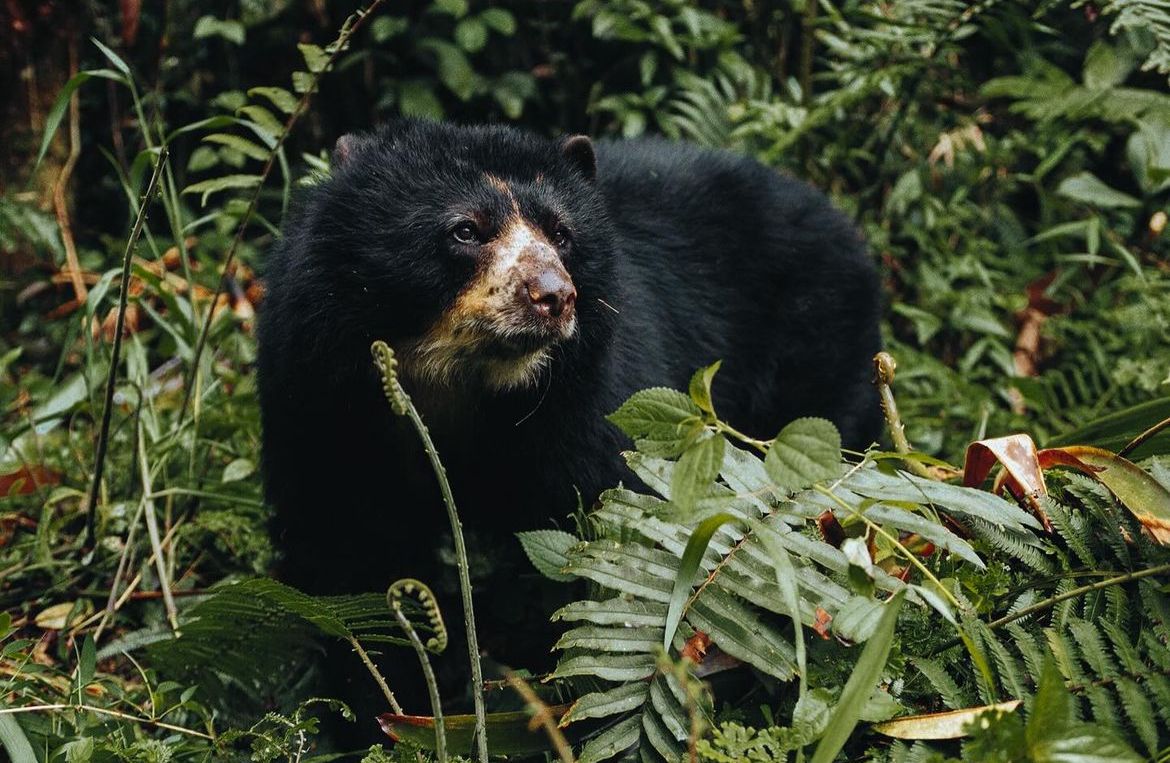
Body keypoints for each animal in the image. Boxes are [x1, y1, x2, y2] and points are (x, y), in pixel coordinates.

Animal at [253, 120, 879, 720]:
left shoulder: (586, 408)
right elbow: (349, 557)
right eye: (466, 230)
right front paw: (382, 710)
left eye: (561, 233)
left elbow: (601, 546)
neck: (460, 385)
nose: (554, 296)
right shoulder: (320, 402)